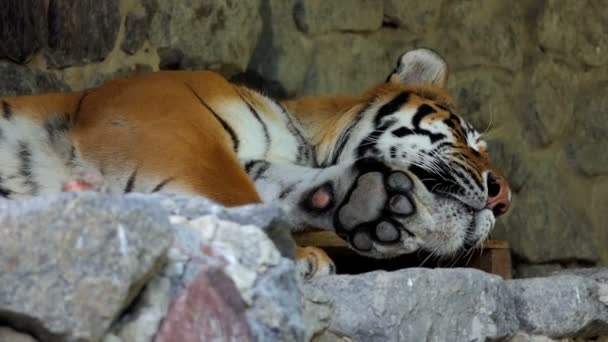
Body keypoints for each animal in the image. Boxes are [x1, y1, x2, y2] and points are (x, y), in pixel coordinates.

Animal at [0, 47, 510, 278]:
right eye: (467, 137)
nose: (504, 198)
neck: (302, 139)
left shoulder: (257, 163)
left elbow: (286, 187)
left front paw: (371, 202)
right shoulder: (171, 123)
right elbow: (230, 190)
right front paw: (296, 255)